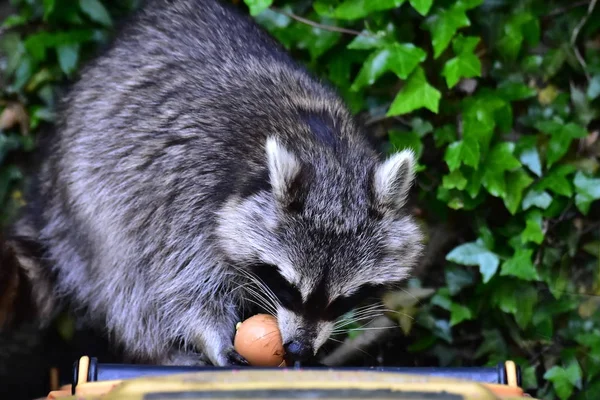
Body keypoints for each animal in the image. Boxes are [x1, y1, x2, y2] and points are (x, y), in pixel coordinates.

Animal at [2, 0, 424, 366]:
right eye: (287, 286)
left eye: (343, 299)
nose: (299, 350)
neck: (327, 152)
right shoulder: (186, 196)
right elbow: (182, 287)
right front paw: (211, 336)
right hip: (89, 188)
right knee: (125, 277)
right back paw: (157, 350)